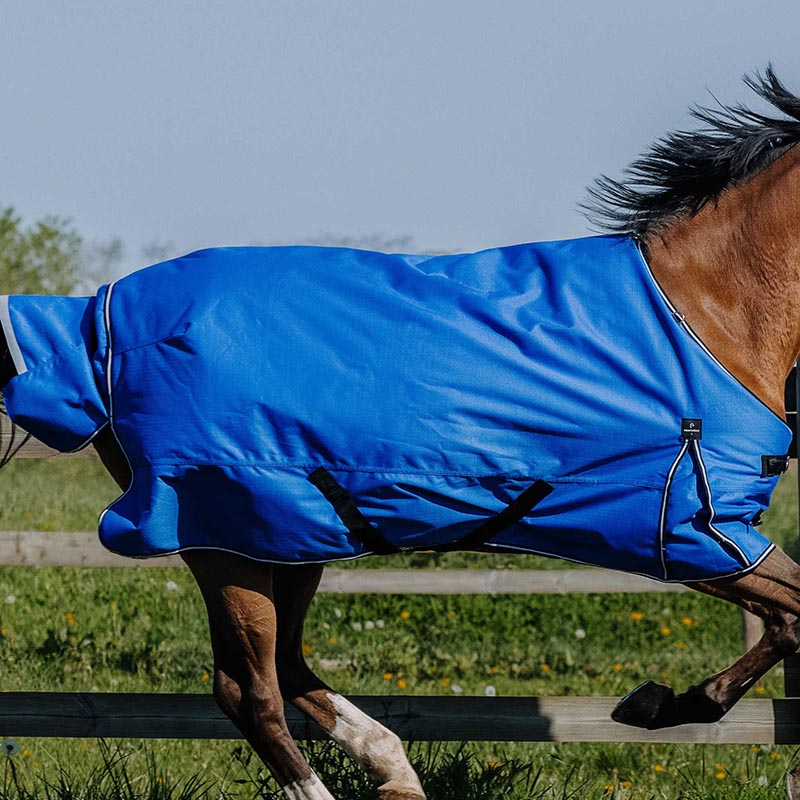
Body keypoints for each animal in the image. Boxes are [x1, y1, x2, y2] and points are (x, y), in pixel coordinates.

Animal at [3, 67, 800, 800]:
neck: (709, 310)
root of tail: (91, 319)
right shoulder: (695, 533)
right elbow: (794, 611)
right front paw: (664, 703)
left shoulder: (708, 537)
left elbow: (788, 621)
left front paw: (665, 702)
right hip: (221, 535)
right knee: (251, 691)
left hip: (290, 537)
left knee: (283, 670)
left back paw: (394, 769)